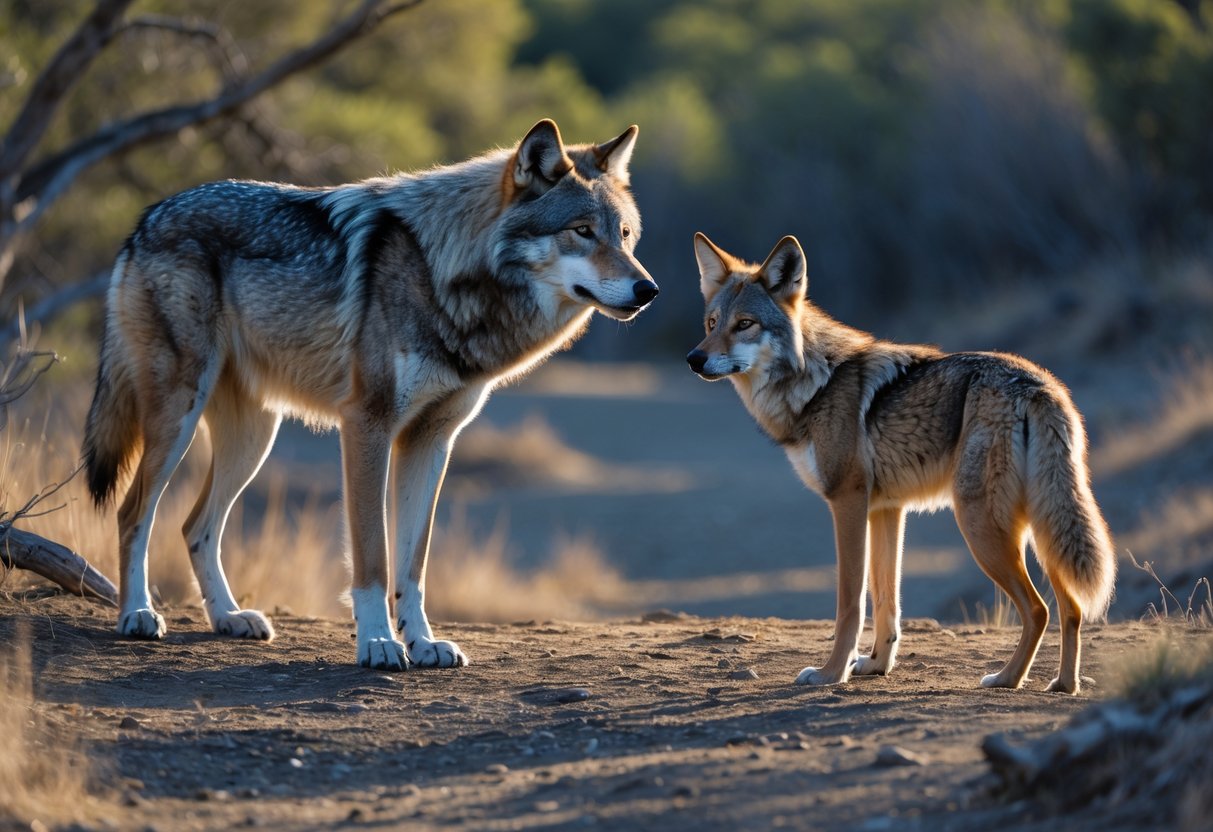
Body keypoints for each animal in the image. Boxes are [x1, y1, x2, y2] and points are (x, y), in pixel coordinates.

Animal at [82, 119, 658, 671]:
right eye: (582, 231)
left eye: (626, 235)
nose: (648, 290)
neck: (440, 273)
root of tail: (146, 218)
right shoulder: (367, 426)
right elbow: (374, 558)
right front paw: (379, 643)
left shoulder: (431, 441)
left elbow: (413, 565)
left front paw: (423, 644)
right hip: (179, 418)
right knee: (133, 512)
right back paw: (137, 614)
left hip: (254, 439)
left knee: (195, 525)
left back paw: (228, 618)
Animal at [687, 233, 1115, 694]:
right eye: (712, 323)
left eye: (745, 324)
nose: (694, 358)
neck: (814, 383)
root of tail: (1038, 384)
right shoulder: (887, 509)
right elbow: (886, 602)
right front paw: (875, 665)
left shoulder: (848, 502)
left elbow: (851, 603)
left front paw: (831, 673)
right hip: (1039, 530)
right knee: (1071, 608)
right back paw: (1064, 685)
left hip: (982, 526)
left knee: (1039, 609)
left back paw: (1007, 678)